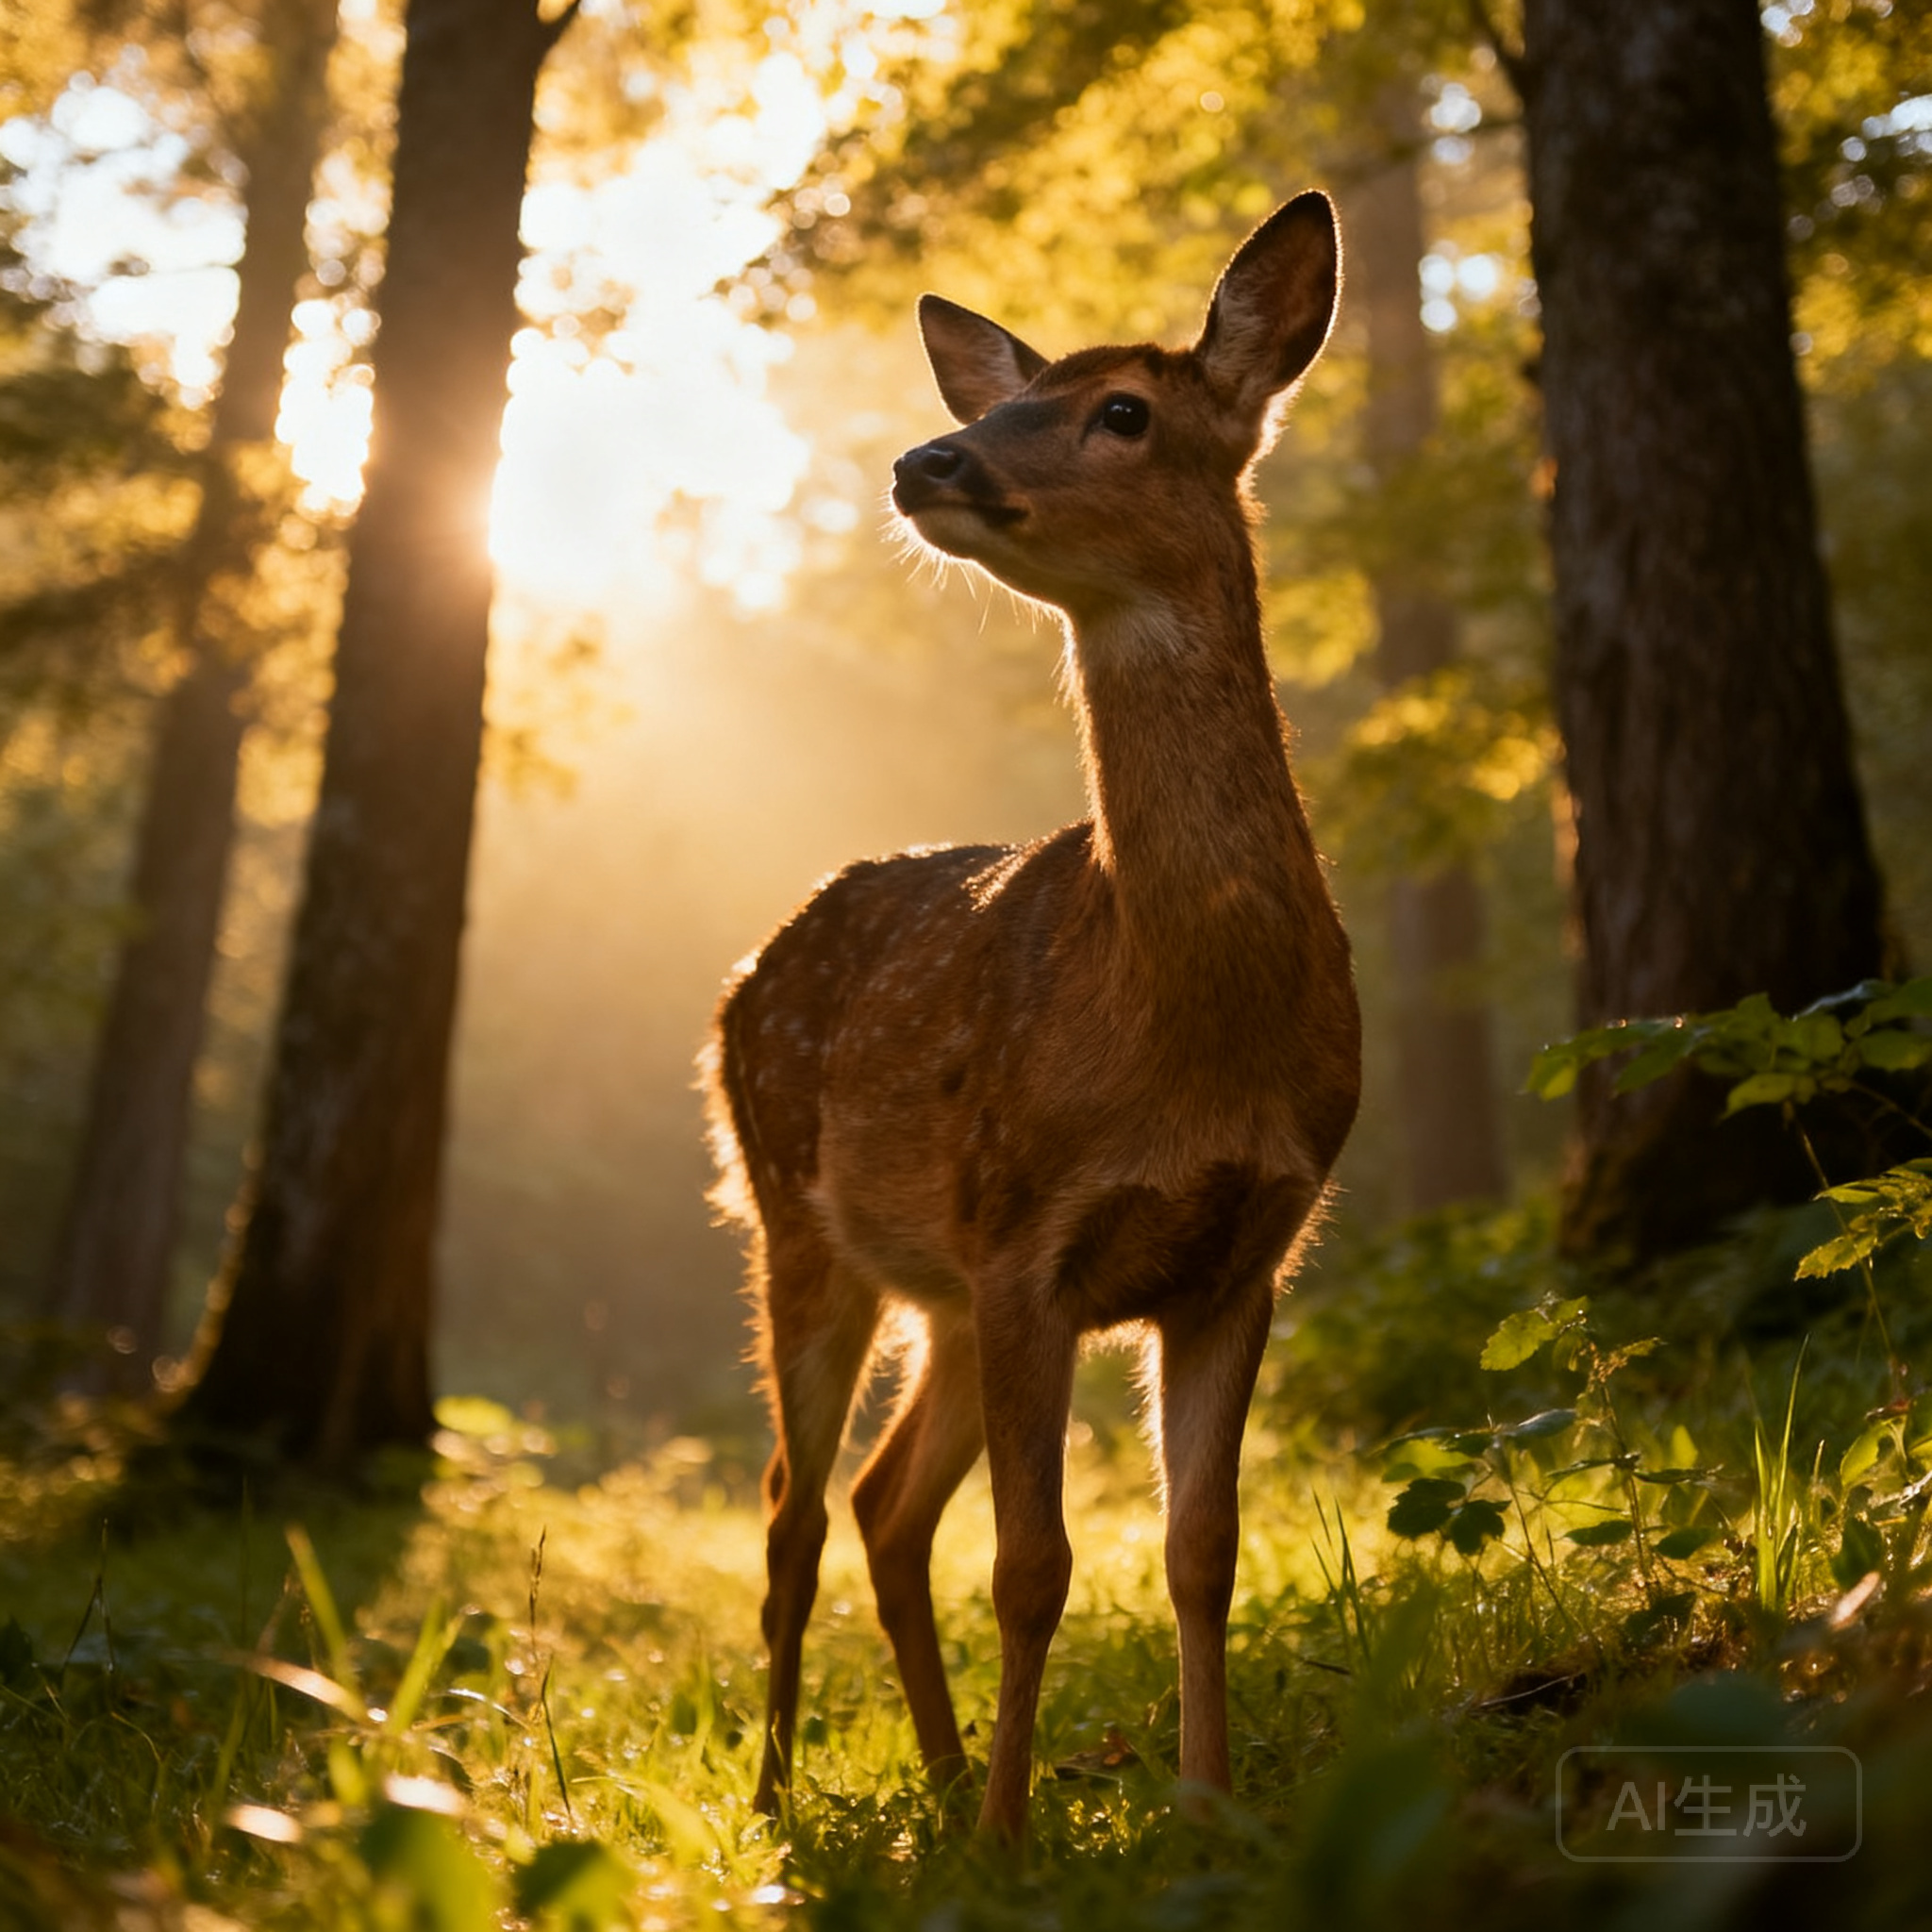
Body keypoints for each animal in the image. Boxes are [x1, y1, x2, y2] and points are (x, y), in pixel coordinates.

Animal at [702, 191, 1361, 1841]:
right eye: (1005, 397)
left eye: (1122, 410)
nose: (928, 459)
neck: (1188, 1025)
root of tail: (747, 972)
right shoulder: (1028, 1229)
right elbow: (1034, 1567)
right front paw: (1015, 1840)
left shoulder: (1242, 1251)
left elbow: (1202, 1554)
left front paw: (1205, 1809)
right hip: (800, 1223)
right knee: (794, 1510)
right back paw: (785, 1797)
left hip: (936, 1287)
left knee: (881, 1504)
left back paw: (932, 1785)